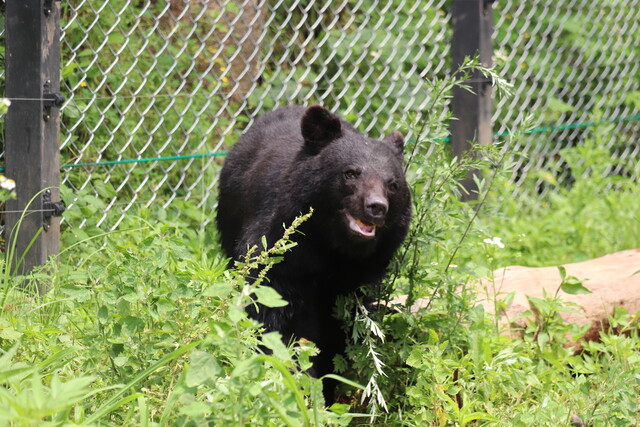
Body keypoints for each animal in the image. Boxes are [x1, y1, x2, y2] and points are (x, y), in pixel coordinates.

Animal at [218, 104, 412, 402]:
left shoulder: (362, 272)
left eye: (392, 184)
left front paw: (326, 387)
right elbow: (273, 308)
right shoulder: (280, 244)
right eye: (351, 173)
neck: (332, 245)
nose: (376, 207)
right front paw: (293, 379)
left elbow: (342, 328)